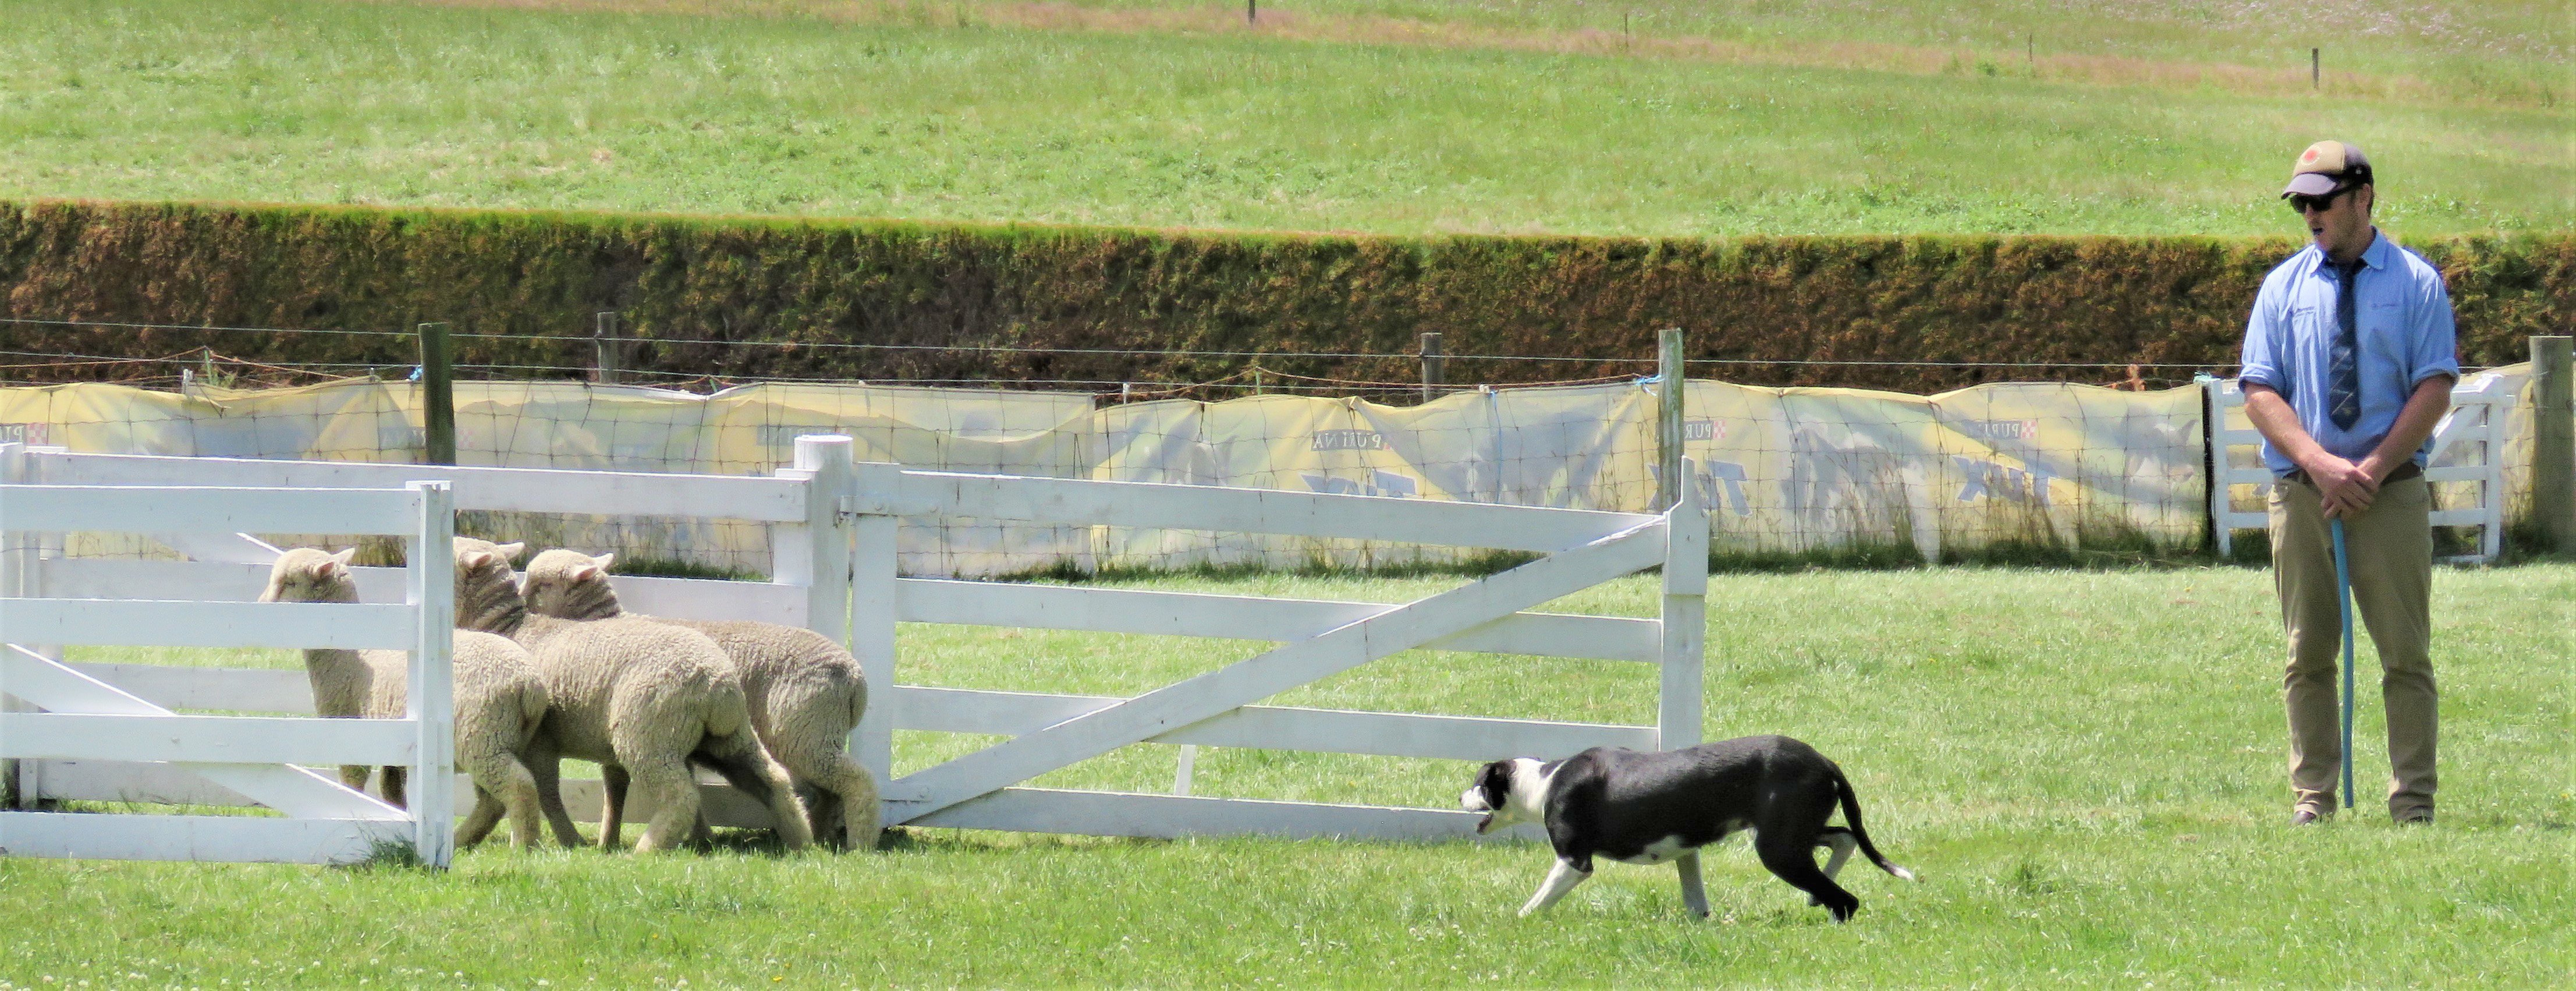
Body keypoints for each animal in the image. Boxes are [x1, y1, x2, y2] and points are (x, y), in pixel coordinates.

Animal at [258, 546, 551, 844]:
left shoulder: (349, 729)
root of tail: (530, 684)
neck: (348, 654)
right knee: (492, 801)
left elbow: (353, 781)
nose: (261, 605)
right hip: (503, 738)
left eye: (289, 583)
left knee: (518, 787)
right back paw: (464, 840)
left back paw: (524, 845)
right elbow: (390, 790)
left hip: (484, 737)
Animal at [450, 535, 814, 854]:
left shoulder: (541, 742)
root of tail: (717, 684)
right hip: (729, 737)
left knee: (681, 795)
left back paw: (648, 849)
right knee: (773, 779)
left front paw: (570, 841)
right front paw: (601, 842)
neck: (508, 628)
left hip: (647, 736)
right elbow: (610, 793)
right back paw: (800, 839)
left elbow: (548, 792)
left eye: (542, 585)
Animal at [523, 546, 886, 844]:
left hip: (806, 733)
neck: (601, 622)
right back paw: (821, 837)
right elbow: (627, 791)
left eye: (542, 585)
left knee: (854, 781)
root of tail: (855, 678)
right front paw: (697, 839)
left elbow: (619, 790)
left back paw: (860, 843)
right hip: (815, 734)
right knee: (826, 791)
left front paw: (608, 843)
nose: (521, 600)